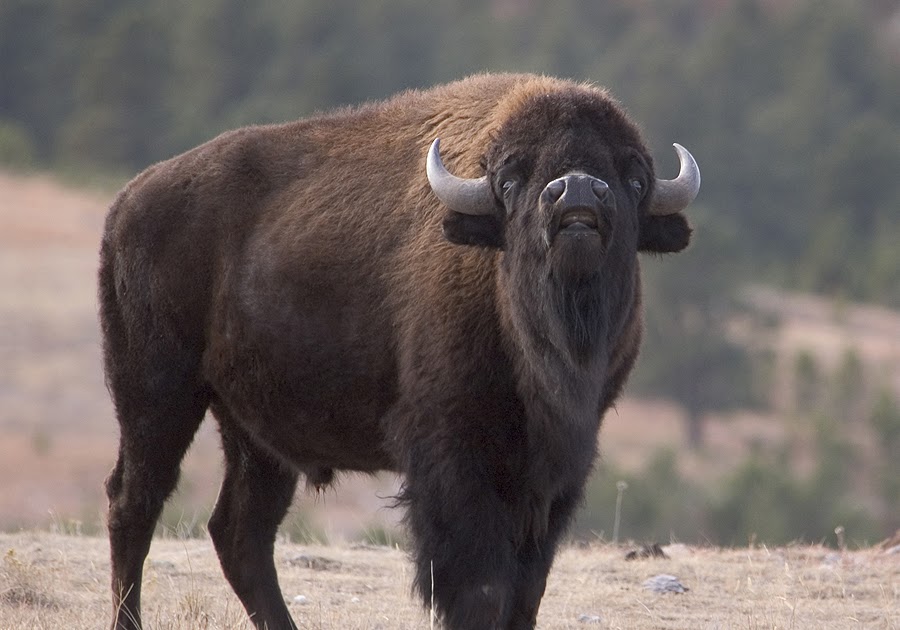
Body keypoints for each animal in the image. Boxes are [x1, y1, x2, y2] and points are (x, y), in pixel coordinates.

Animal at [99, 73, 699, 630]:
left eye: (633, 178)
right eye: (510, 180)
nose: (575, 190)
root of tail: (128, 201)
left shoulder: (556, 470)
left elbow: (527, 590)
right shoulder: (453, 459)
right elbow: (482, 587)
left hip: (255, 436)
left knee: (240, 532)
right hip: (157, 395)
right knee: (135, 503)